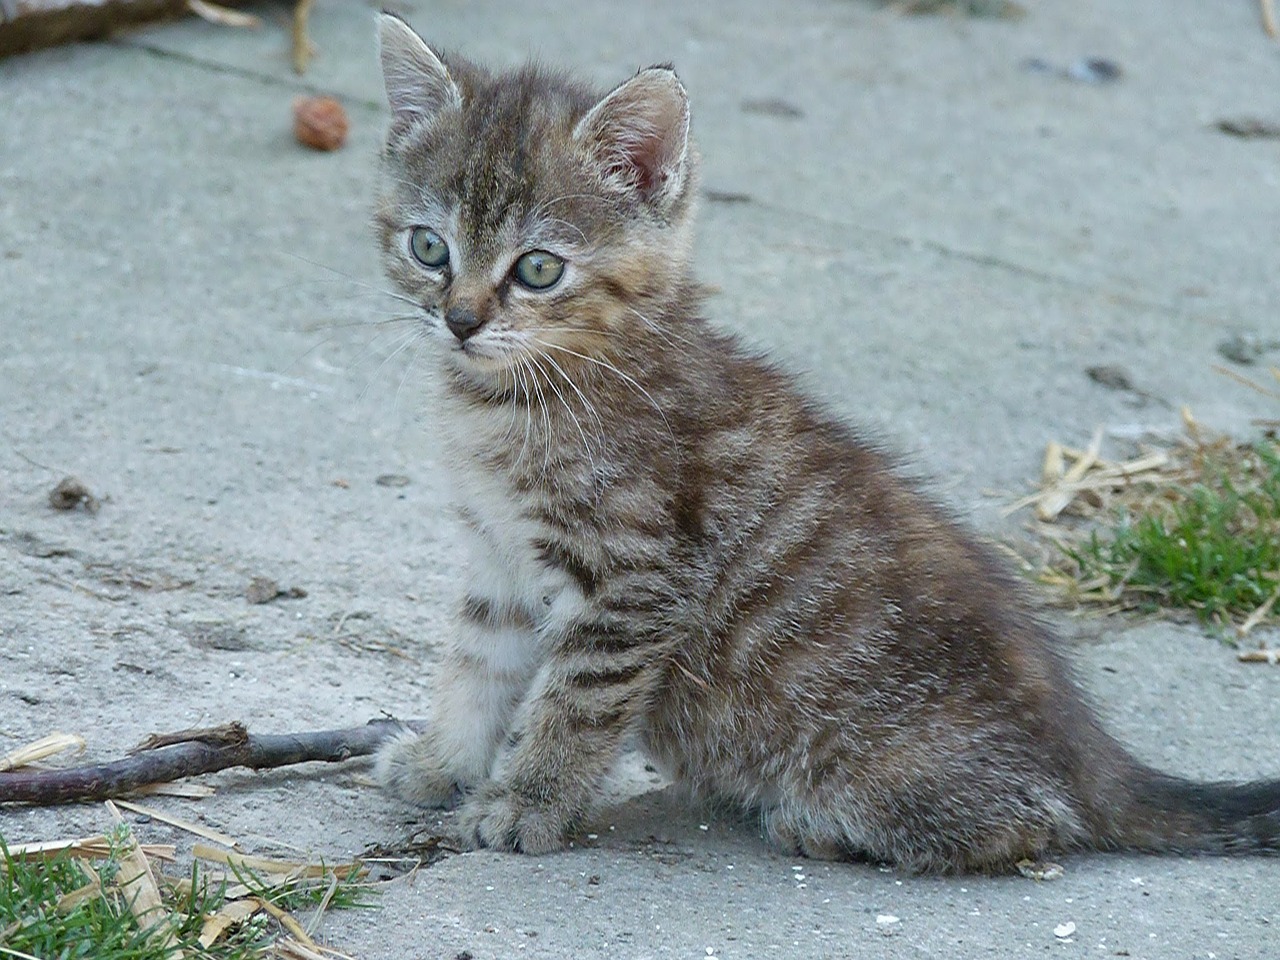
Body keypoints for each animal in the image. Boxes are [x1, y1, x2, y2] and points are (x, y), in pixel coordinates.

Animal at [371, 13, 1280, 880]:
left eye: (537, 269)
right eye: (429, 247)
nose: (460, 320)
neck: (510, 403)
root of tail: (1087, 754)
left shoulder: (634, 578)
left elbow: (575, 706)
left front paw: (526, 803)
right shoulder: (499, 559)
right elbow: (477, 665)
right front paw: (442, 761)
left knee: (1029, 825)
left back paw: (822, 824)